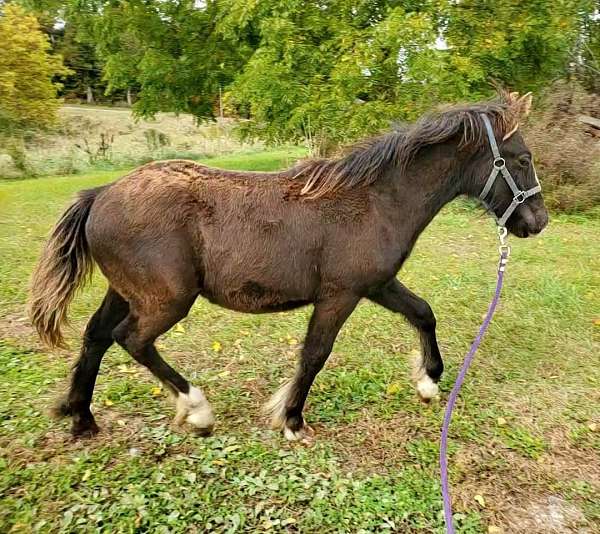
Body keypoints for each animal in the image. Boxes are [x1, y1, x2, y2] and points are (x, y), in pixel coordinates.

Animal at [31, 93, 548, 444]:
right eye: (522, 159)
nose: (537, 221)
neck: (375, 201)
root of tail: (101, 193)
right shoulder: (340, 295)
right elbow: (315, 353)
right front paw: (292, 419)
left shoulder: (377, 284)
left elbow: (422, 312)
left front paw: (427, 381)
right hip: (168, 300)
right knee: (132, 340)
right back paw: (197, 409)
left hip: (126, 291)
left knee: (96, 337)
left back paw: (82, 417)